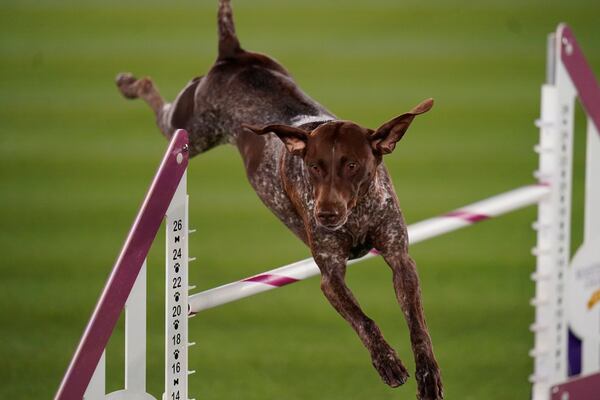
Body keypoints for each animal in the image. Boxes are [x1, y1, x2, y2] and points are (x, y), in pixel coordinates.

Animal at [117, 1, 442, 398]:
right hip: (189, 128)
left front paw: (427, 375)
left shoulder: (400, 259)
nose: (325, 214)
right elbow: (363, 320)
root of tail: (232, 53)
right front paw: (388, 363)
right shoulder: (330, 275)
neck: (358, 213)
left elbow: (418, 325)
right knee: (155, 98)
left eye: (352, 165)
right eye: (314, 167)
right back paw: (129, 83)